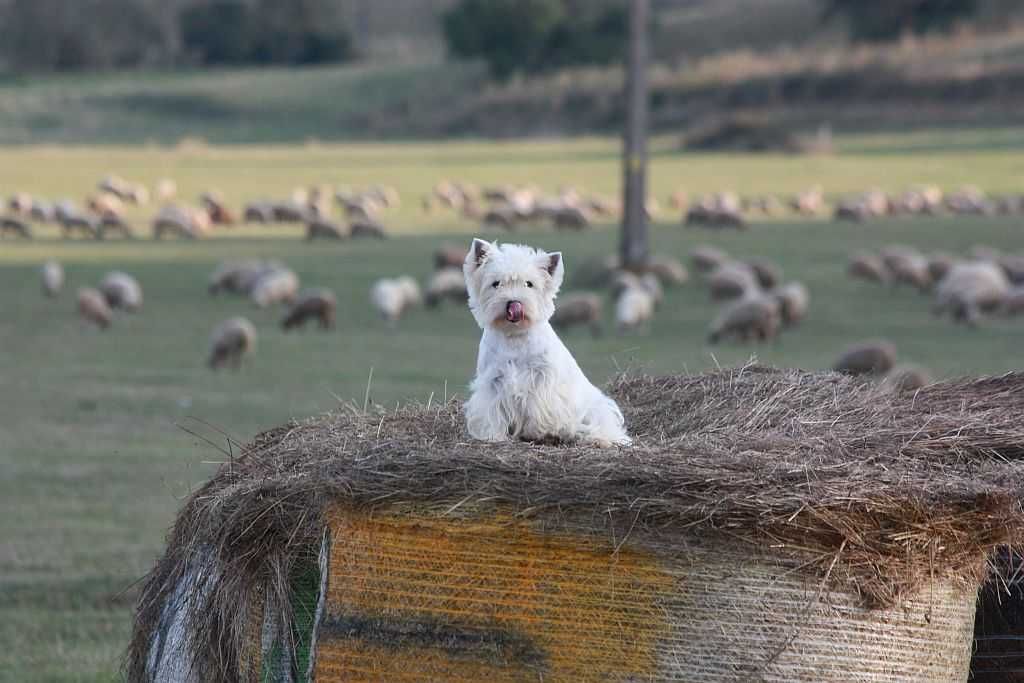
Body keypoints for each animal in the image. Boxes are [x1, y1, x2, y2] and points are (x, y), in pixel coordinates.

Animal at [466, 240, 630, 448]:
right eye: (496, 283)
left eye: (529, 284)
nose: (514, 303)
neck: (515, 336)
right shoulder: (493, 381)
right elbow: (490, 410)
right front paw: (492, 436)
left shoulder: (543, 378)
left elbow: (538, 408)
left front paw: (540, 432)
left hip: (595, 408)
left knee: (604, 427)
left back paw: (596, 438)